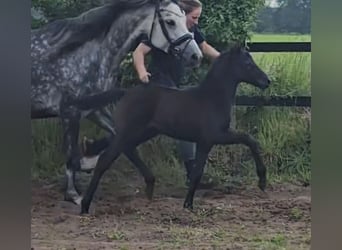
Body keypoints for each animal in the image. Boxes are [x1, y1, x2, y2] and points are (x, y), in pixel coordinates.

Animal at [30, 0, 202, 204]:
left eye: (185, 19)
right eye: (170, 22)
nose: (196, 56)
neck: (83, 56)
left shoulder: (95, 110)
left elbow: (123, 139)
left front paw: (149, 183)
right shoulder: (70, 112)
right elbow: (71, 155)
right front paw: (73, 194)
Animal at [71, 45, 272, 213]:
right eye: (247, 64)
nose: (267, 81)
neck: (212, 98)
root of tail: (126, 92)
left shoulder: (207, 140)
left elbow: (200, 170)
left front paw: (188, 204)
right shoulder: (213, 137)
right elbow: (248, 140)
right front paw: (262, 180)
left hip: (143, 132)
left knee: (126, 148)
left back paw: (147, 184)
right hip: (131, 132)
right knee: (106, 159)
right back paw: (85, 205)